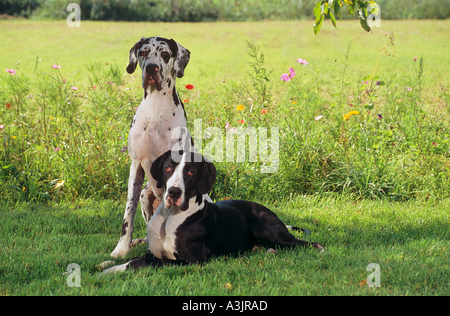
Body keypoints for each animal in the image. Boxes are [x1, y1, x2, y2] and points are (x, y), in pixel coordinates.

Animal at [100, 151, 322, 274]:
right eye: (168, 167)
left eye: (190, 172)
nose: (174, 192)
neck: (169, 218)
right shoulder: (153, 250)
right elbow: (134, 256)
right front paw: (106, 263)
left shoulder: (191, 261)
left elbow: (141, 262)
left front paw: (112, 271)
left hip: (265, 229)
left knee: (306, 243)